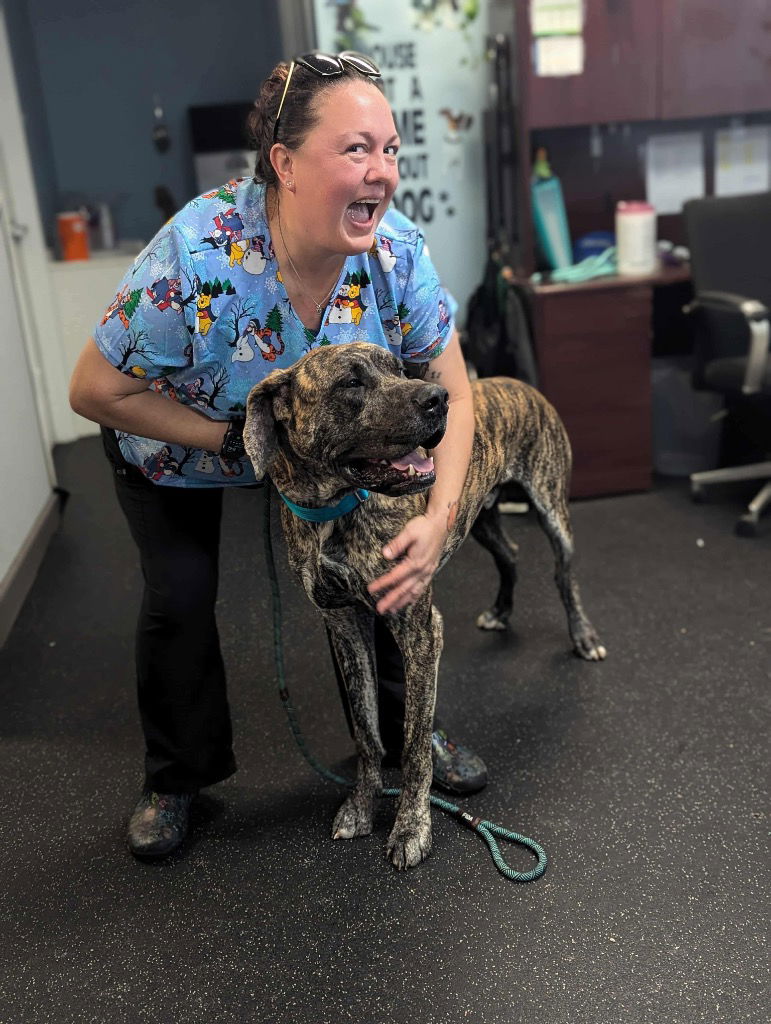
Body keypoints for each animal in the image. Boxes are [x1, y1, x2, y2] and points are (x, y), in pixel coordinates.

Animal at [244, 342, 605, 870]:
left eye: (399, 368)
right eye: (351, 383)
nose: (438, 399)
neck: (336, 511)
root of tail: (517, 382)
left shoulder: (419, 631)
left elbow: (414, 745)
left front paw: (412, 827)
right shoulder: (344, 626)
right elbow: (368, 733)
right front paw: (361, 804)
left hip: (552, 509)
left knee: (564, 577)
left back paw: (584, 636)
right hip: (478, 517)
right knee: (510, 554)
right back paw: (501, 610)